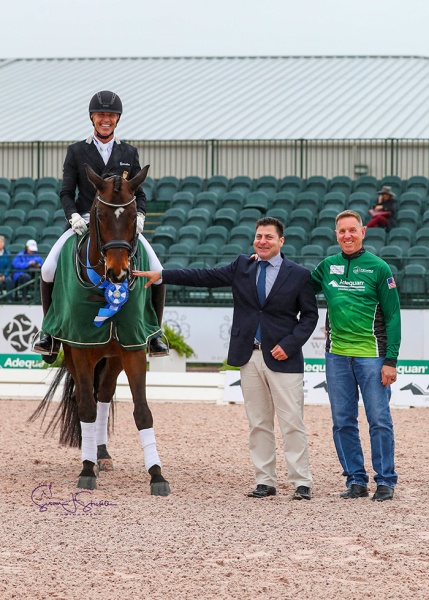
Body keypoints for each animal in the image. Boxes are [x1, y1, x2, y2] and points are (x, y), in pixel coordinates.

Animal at [29, 164, 170, 496]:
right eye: (100, 216)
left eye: (132, 215)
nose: (118, 273)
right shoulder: (80, 350)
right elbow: (86, 409)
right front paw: (86, 470)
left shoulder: (133, 348)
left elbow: (142, 411)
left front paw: (157, 475)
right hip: (74, 353)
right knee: (84, 399)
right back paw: (92, 456)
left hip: (113, 356)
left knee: (104, 395)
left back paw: (102, 454)